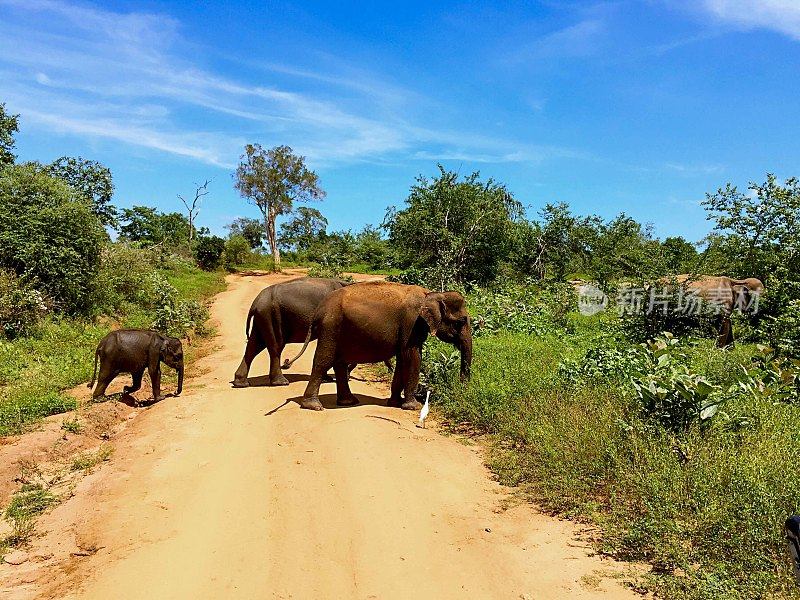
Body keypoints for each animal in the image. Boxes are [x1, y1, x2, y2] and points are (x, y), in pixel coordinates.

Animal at [282, 280, 472, 410]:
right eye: (460, 322)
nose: (462, 389)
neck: (431, 294)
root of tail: (318, 310)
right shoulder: (411, 323)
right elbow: (413, 356)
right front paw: (413, 406)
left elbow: (402, 358)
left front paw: (395, 403)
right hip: (331, 327)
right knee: (324, 360)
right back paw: (314, 406)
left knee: (339, 362)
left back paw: (348, 402)